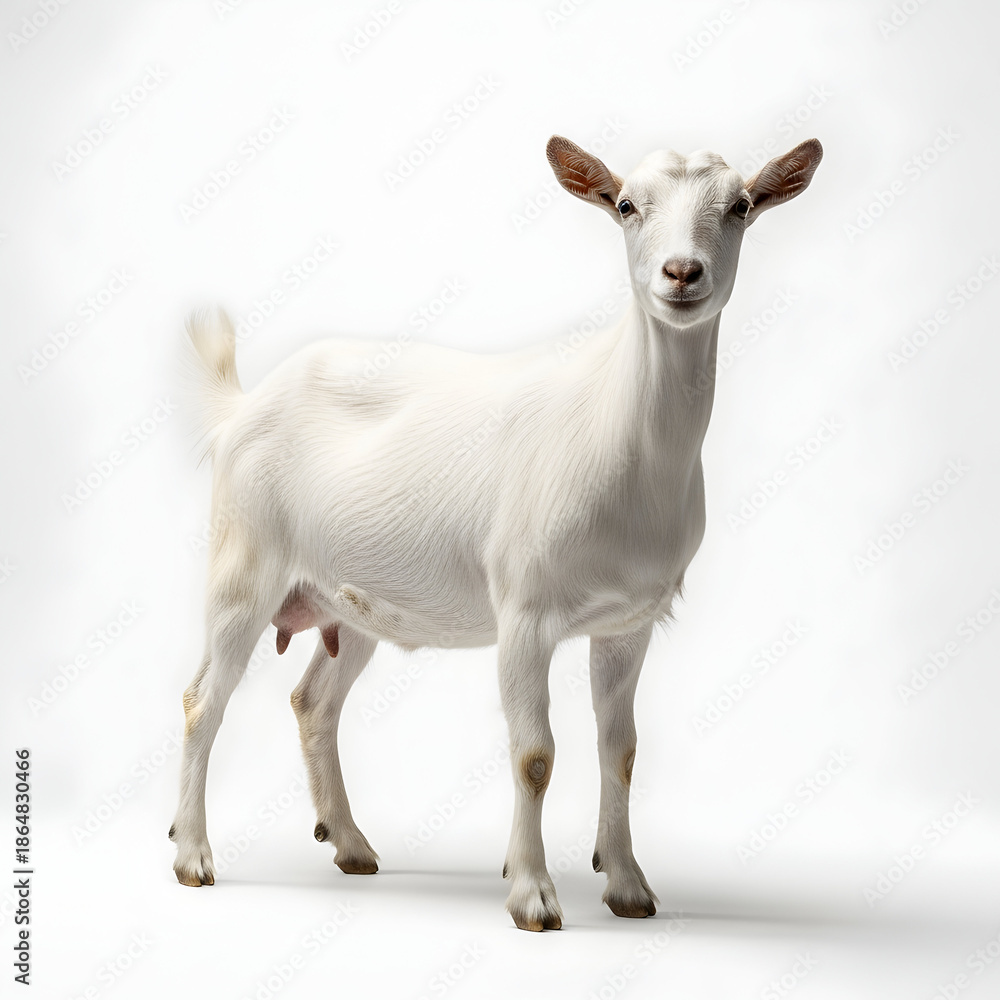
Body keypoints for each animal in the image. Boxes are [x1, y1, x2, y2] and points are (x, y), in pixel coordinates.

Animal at [170, 134, 823, 930]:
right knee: (203, 700)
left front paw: (629, 886)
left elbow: (621, 750)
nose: (682, 272)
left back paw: (351, 843)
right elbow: (534, 755)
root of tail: (241, 407)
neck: (615, 424)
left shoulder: (629, 623)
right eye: (625, 205)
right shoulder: (525, 611)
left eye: (741, 206)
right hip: (245, 563)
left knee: (313, 701)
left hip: (347, 601)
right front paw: (533, 896)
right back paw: (192, 856)